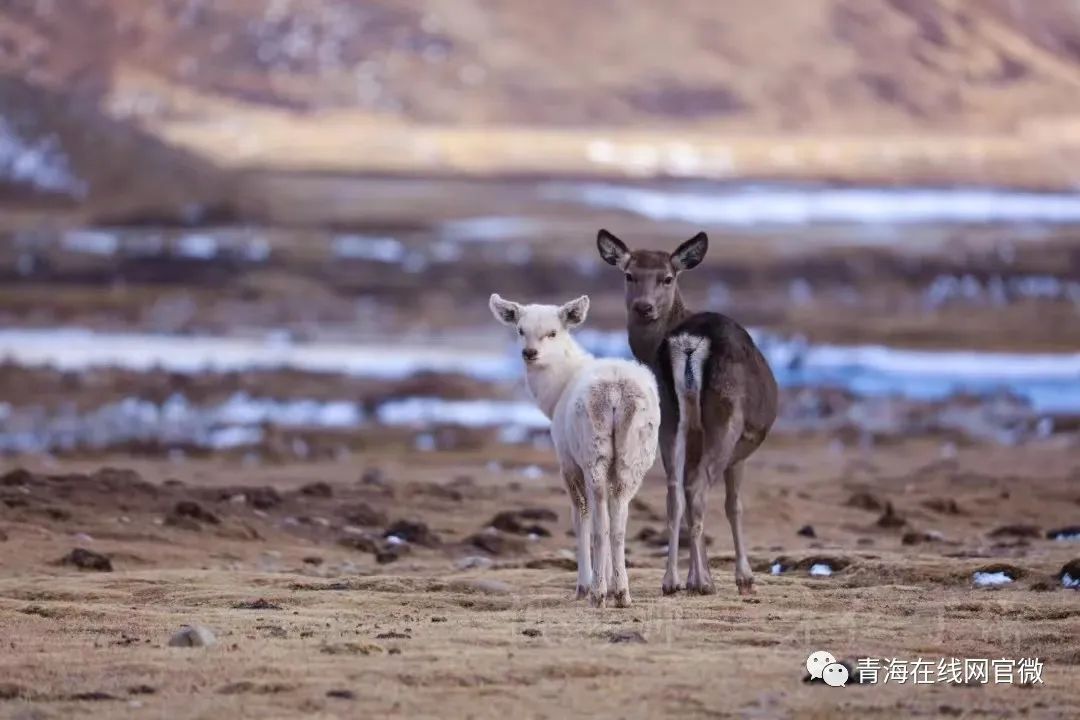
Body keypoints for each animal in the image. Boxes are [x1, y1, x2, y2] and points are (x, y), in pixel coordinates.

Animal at [490, 293, 656, 608]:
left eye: (553, 332)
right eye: (520, 329)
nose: (529, 353)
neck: (553, 396)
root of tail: (615, 392)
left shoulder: (567, 464)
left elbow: (581, 519)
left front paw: (583, 586)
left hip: (592, 451)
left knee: (598, 522)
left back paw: (598, 592)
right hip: (634, 455)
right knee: (618, 523)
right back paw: (622, 593)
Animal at [596, 232, 781, 595]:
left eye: (667, 278)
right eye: (629, 275)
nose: (644, 306)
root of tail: (690, 342)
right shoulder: (740, 452)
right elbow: (734, 505)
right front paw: (743, 577)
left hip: (669, 416)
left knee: (674, 492)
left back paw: (671, 581)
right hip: (726, 417)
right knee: (696, 489)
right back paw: (703, 582)